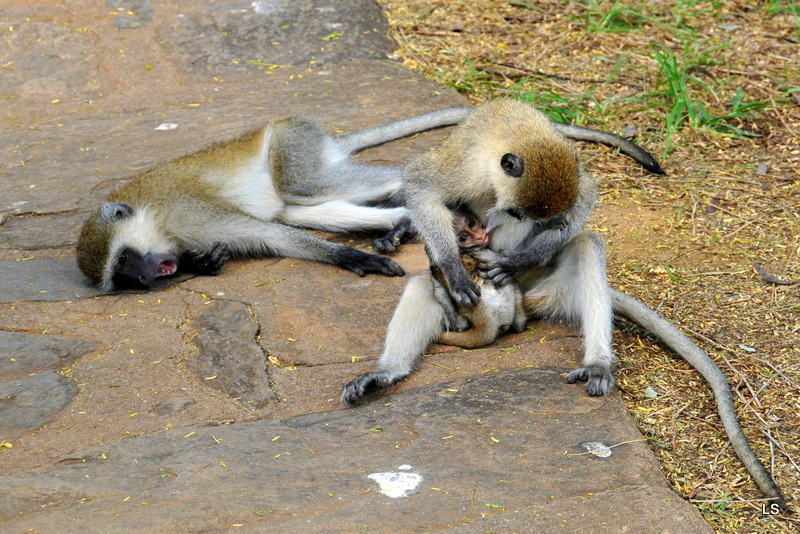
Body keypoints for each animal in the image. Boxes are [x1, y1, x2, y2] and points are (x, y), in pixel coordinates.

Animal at [79, 107, 664, 296]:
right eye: (123, 275)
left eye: (124, 260)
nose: (146, 277)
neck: (157, 223)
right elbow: (267, 234)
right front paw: (205, 264)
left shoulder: (190, 214)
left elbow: (270, 235)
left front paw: (352, 259)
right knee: (301, 208)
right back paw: (402, 223)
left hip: (293, 151)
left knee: (306, 194)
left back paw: (406, 215)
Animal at [338, 98, 788, 512]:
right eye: (516, 211)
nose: (489, 240)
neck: (516, 143)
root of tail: (510, 311)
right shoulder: (463, 169)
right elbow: (420, 186)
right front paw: (450, 263)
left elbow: (584, 198)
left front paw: (516, 258)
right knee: (422, 283)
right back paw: (388, 370)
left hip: (543, 291)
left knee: (587, 243)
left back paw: (595, 360)